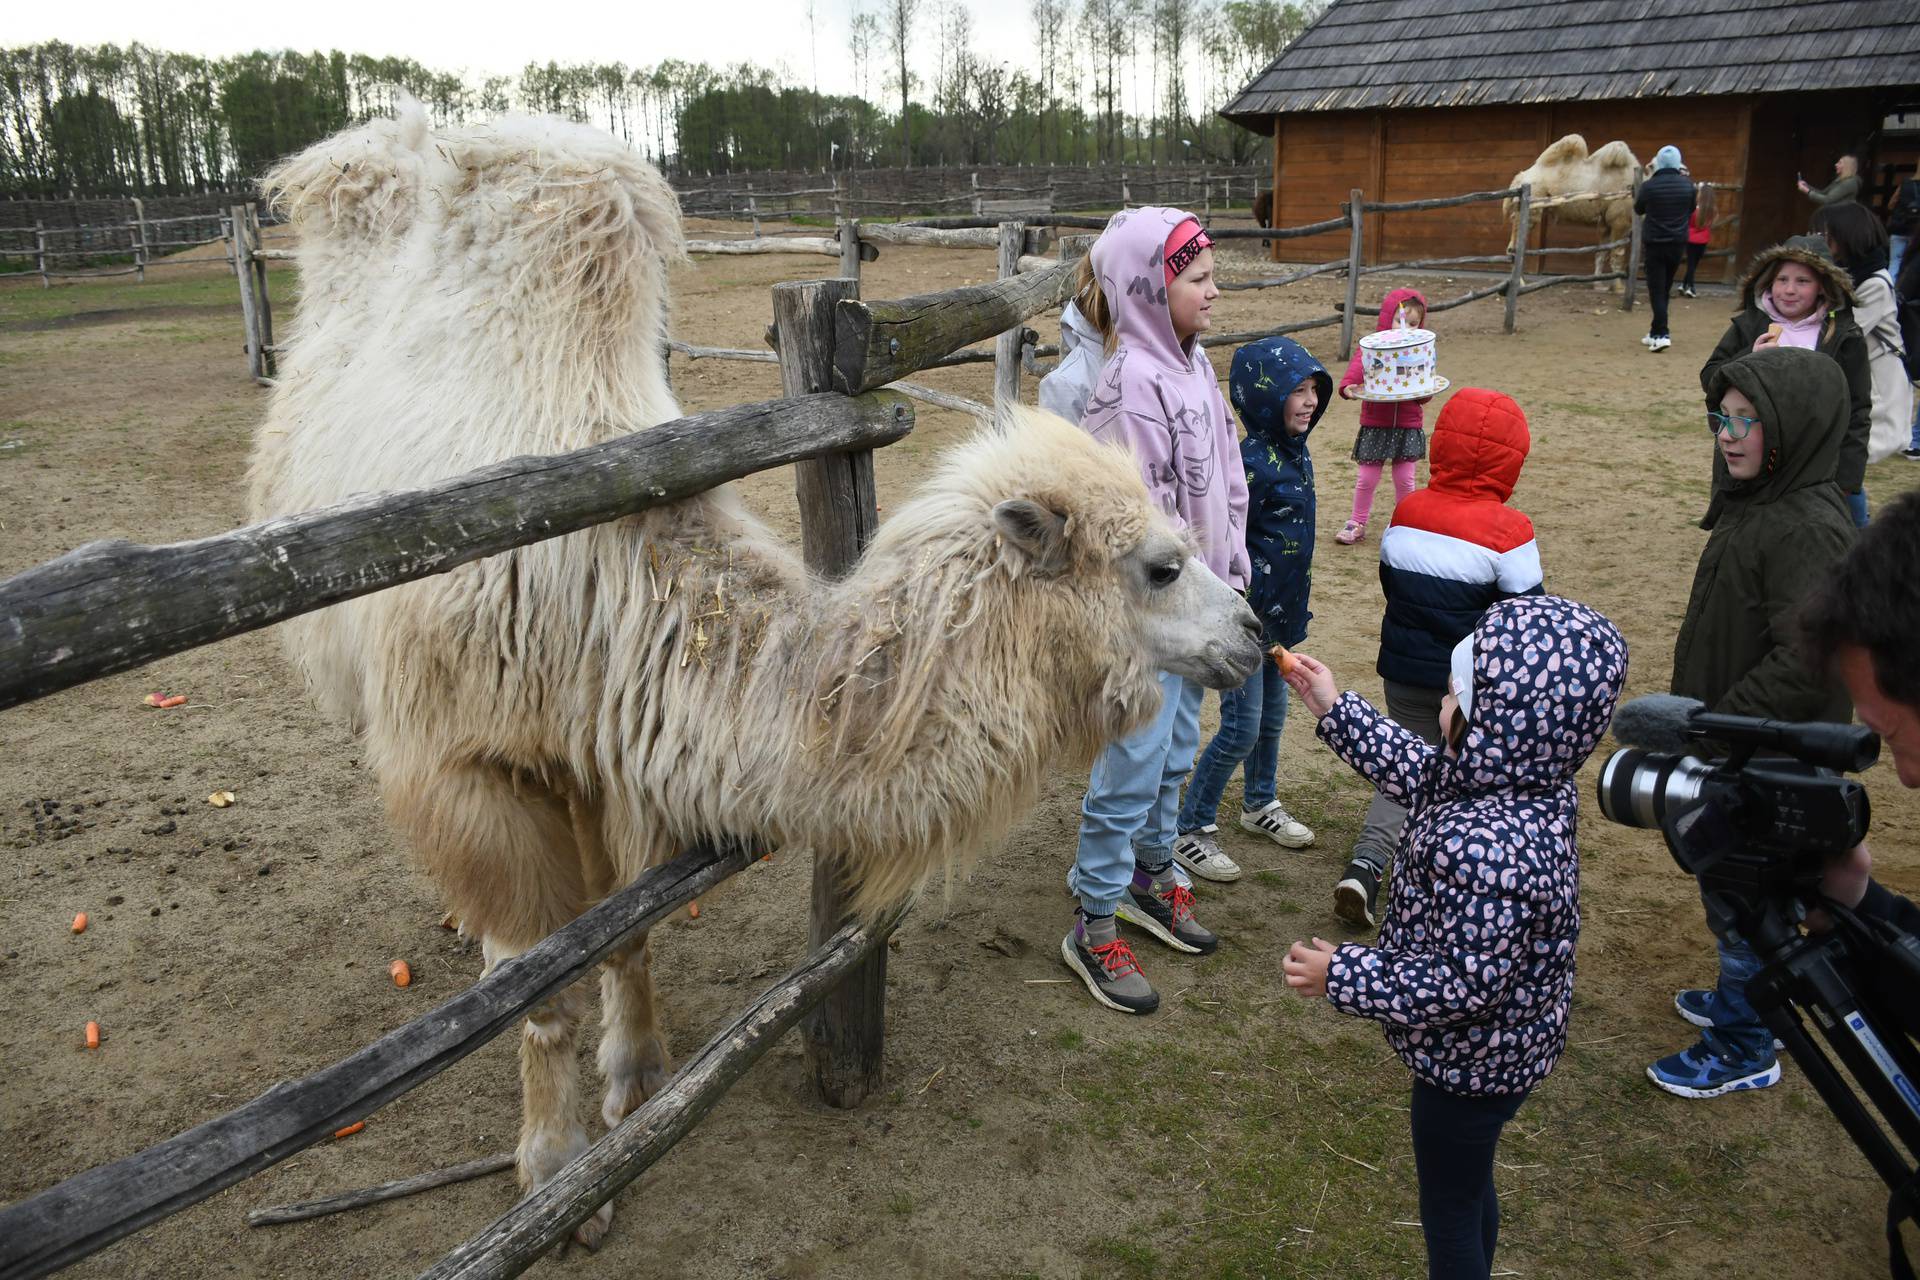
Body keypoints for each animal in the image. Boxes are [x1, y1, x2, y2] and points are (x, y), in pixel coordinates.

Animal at [247, 110, 1267, 1251]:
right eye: (1160, 566)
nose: (1254, 626)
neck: (602, 591)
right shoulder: (468, 758)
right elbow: (545, 995)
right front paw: (556, 1178)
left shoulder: (621, 748)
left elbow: (628, 930)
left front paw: (635, 1081)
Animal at [1505, 136, 1643, 295]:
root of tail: (1521, 177)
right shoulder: (1620, 221)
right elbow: (1617, 255)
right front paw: (1619, 288)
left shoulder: (1605, 223)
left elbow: (1601, 253)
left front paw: (1599, 285)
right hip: (1532, 208)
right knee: (1515, 247)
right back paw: (1520, 284)